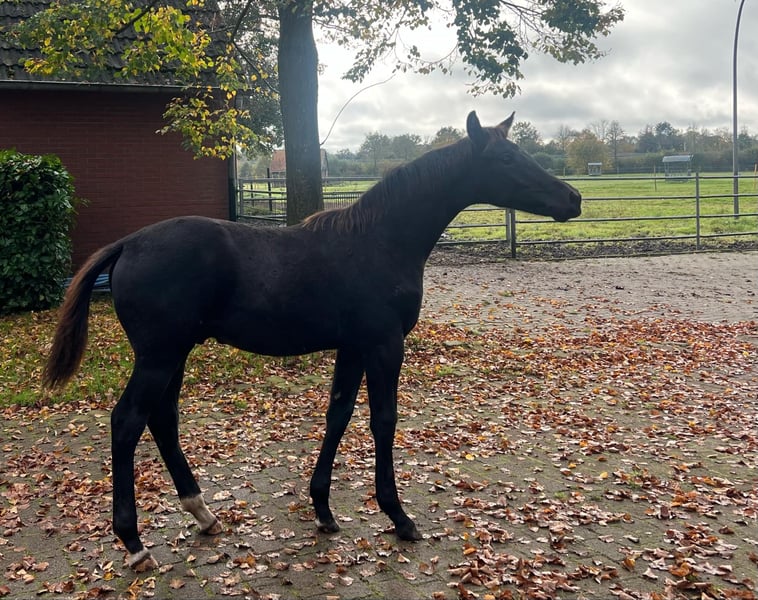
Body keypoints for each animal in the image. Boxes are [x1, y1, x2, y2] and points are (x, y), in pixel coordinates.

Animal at [43, 111, 581, 571]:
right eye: (505, 159)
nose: (572, 199)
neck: (379, 240)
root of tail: (128, 245)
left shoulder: (352, 347)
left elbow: (338, 415)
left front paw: (323, 509)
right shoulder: (383, 345)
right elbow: (383, 421)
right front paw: (398, 516)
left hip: (173, 356)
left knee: (163, 420)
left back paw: (203, 513)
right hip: (159, 357)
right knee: (127, 422)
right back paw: (134, 543)